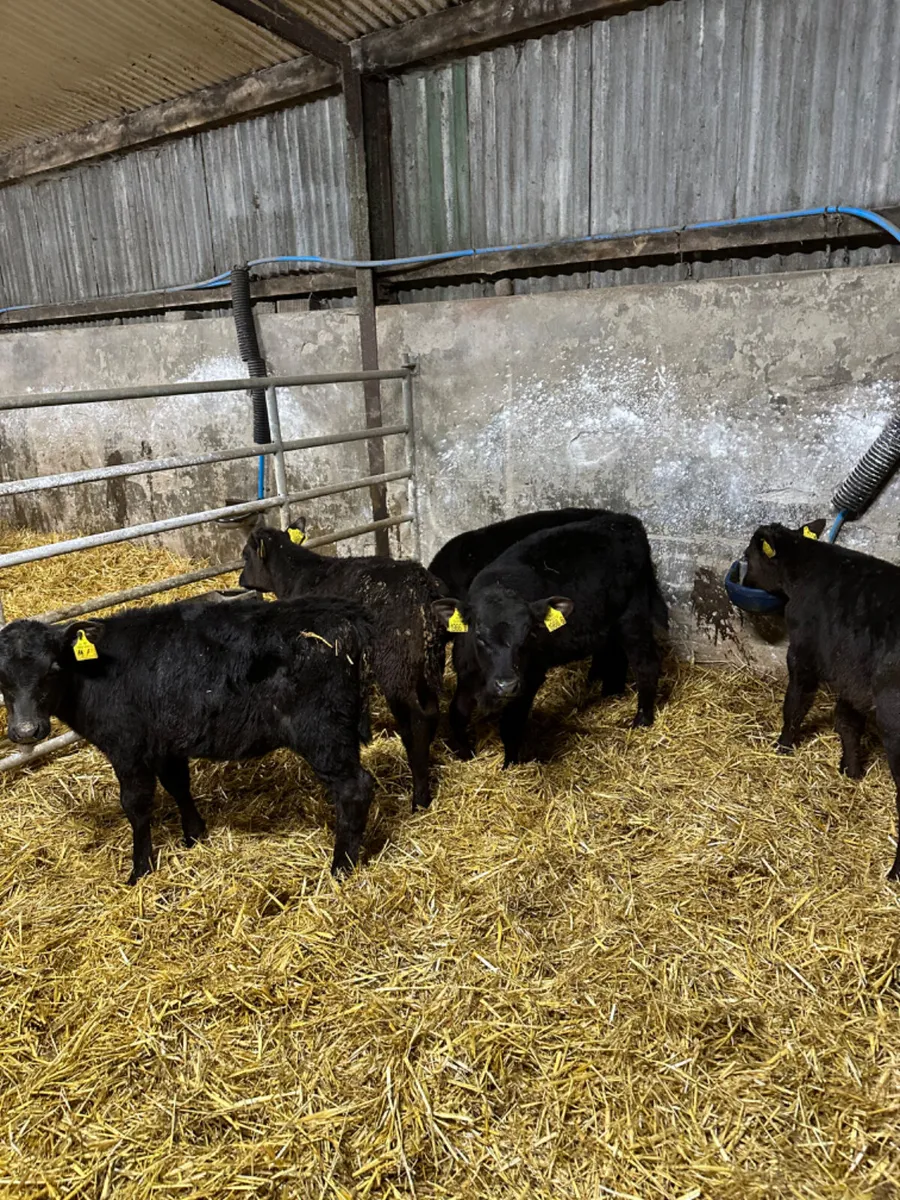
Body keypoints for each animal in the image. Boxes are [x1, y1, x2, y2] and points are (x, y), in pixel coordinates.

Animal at [0, 596, 375, 884]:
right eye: (1, 677)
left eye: (53, 669)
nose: (26, 731)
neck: (94, 673)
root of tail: (343, 616)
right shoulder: (166, 744)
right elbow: (178, 785)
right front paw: (194, 834)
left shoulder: (127, 749)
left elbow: (136, 805)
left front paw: (140, 869)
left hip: (323, 733)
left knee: (355, 789)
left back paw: (341, 867)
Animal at [239, 520, 446, 812]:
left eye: (246, 555)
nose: (240, 581)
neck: (296, 575)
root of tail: (422, 588)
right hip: (428, 664)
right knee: (432, 712)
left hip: (397, 668)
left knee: (416, 722)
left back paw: (419, 798)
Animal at [434, 512, 668, 765]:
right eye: (479, 635)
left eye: (528, 635)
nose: (506, 684)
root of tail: (625, 521)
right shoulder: (466, 675)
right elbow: (457, 713)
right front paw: (464, 753)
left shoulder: (530, 677)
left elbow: (510, 726)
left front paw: (511, 765)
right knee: (616, 658)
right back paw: (610, 693)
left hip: (633, 617)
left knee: (646, 665)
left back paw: (642, 720)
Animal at [742, 519, 900, 879]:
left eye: (748, 557)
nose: (743, 584)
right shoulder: (850, 676)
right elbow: (847, 723)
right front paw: (850, 769)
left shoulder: (802, 654)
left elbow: (795, 704)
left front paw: (783, 745)